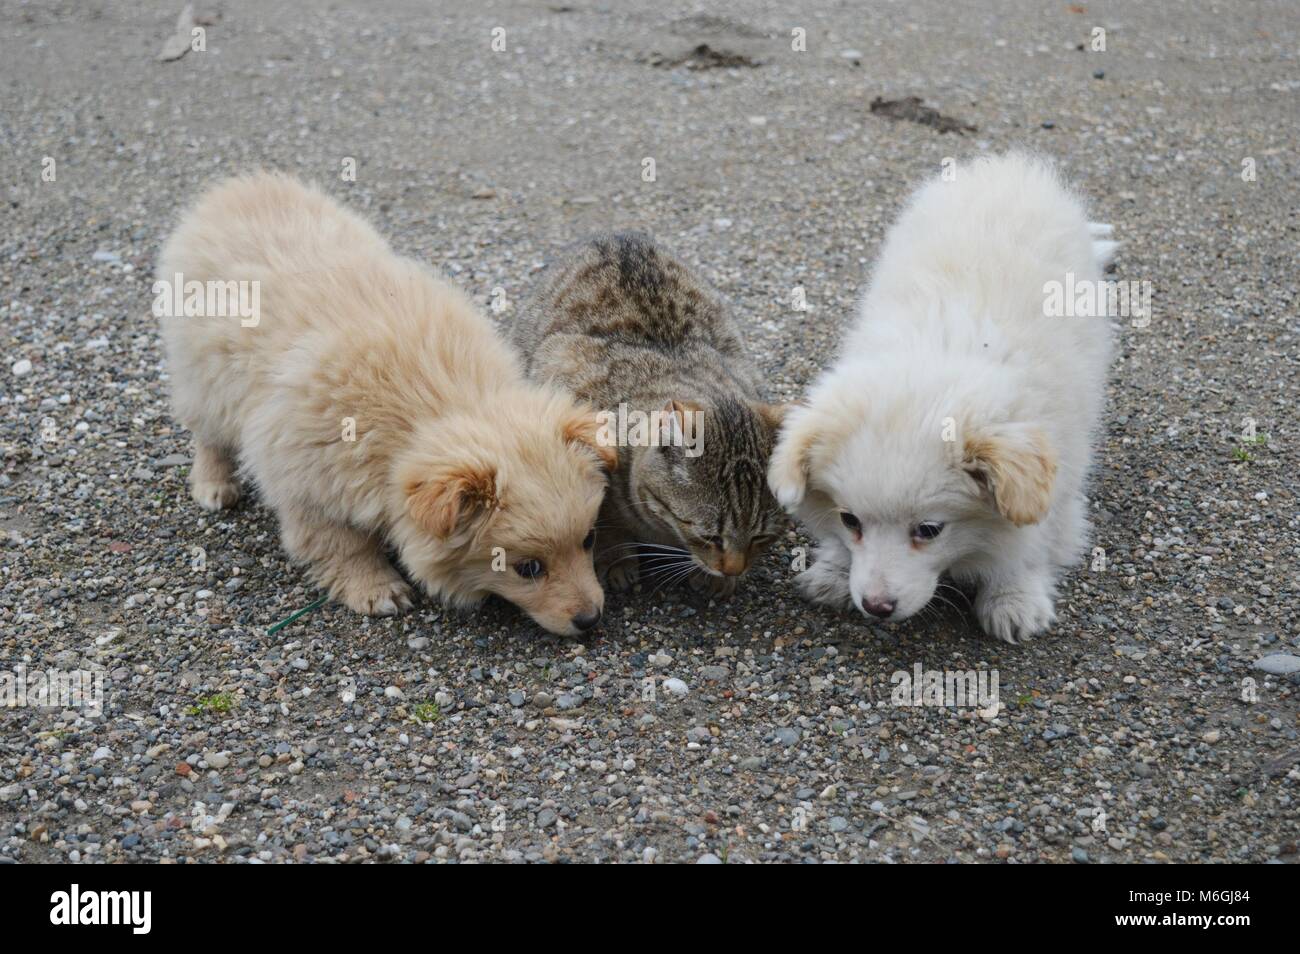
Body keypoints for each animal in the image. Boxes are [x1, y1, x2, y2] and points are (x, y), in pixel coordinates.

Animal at [157, 174, 613, 634]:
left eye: (589, 539)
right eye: (528, 568)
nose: (590, 619)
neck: (438, 397)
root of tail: (242, 185)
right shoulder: (307, 483)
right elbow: (343, 543)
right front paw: (374, 589)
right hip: (202, 374)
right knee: (207, 434)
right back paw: (214, 485)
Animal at [514, 231, 780, 597]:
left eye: (761, 537)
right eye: (709, 536)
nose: (733, 568)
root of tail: (615, 234)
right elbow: (604, 519)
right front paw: (616, 559)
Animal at [764, 155, 1112, 642]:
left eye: (929, 529)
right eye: (850, 520)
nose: (876, 607)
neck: (933, 360)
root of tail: (1003, 166)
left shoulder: (1057, 485)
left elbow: (1031, 547)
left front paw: (1013, 600)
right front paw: (833, 570)